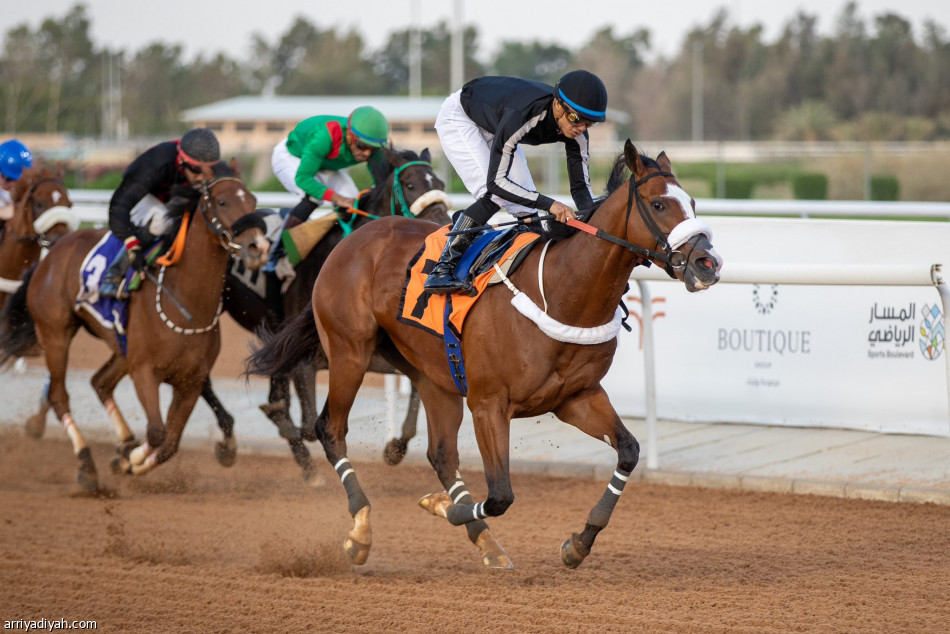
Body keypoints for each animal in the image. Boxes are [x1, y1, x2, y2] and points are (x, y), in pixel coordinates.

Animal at [249, 142, 724, 568]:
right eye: (659, 204)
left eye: (692, 202)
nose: (708, 263)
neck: (563, 290)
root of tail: (355, 238)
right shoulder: (488, 404)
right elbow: (500, 495)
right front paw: (439, 507)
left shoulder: (577, 397)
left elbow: (627, 450)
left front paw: (578, 543)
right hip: (350, 352)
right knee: (329, 429)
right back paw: (361, 530)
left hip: (431, 375)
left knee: (440, 454)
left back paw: (487, 545)